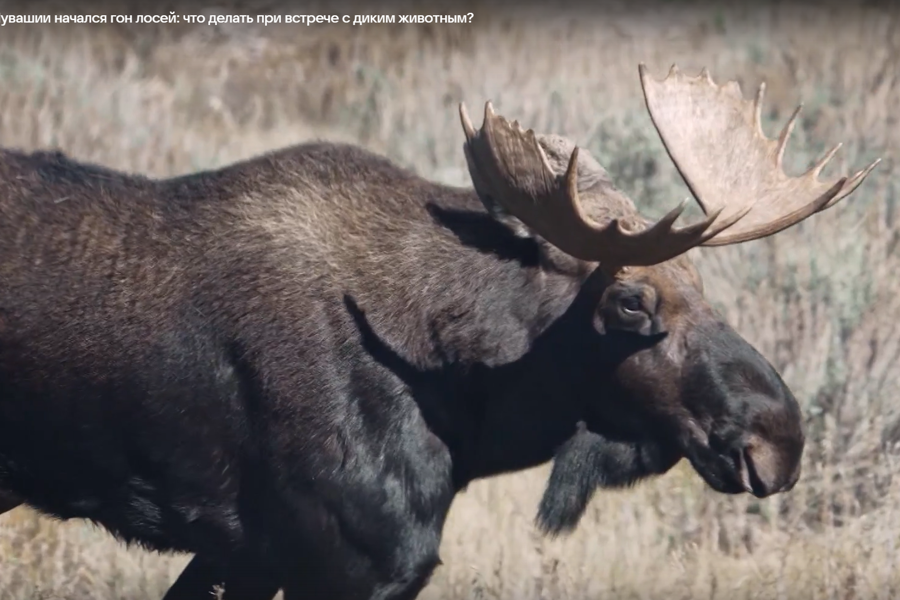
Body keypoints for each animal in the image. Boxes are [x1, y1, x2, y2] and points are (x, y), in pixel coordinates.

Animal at [0, 63, 880, 596]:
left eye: (706, 282)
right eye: (632, 303)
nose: (780, 437)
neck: (469, 414)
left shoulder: (241, 552)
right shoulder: (351, 562)